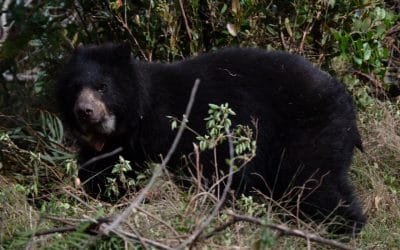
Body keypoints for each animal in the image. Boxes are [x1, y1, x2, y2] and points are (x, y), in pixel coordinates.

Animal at [56, 43, 366, 234]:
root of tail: (345, 99)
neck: (134, 119)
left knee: (313, 181)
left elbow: (213, 170)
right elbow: (104, 172)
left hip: (308, 130)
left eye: (102, 87)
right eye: (75, 88)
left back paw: (346, 227)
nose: (84, 111)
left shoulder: (179, 130)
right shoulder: (118, 146)